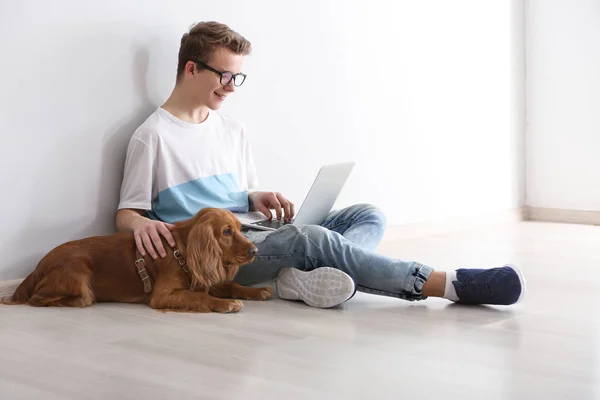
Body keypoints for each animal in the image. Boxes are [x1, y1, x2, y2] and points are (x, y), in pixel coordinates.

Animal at [4, 208, 272, 314]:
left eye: (240, 229)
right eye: (226, 232)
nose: (255, 250)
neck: (182, 251)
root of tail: (38, 267)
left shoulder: (202, 276)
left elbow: (228, 285)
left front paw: (256, 291)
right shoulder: (163, 295)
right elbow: (201, 297)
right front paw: (226, 303)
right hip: (78, 273)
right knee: (40, 298)